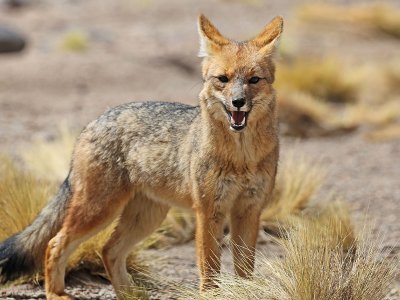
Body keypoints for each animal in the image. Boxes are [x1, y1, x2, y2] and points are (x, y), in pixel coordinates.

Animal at [0, 14, 282, 300]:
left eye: (254, 80)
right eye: (223, 79)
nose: (238, 102)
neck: (241, 158)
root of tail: (94, 121)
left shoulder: (249, 209)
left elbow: (245, 268)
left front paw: (247, 291)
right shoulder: (208, 211)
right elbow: (210, 266)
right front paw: (211, 295)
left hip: (146, 217)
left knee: (108, 250)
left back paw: (129, 294)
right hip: (99, 210)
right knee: (55, 243)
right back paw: (56, 293)